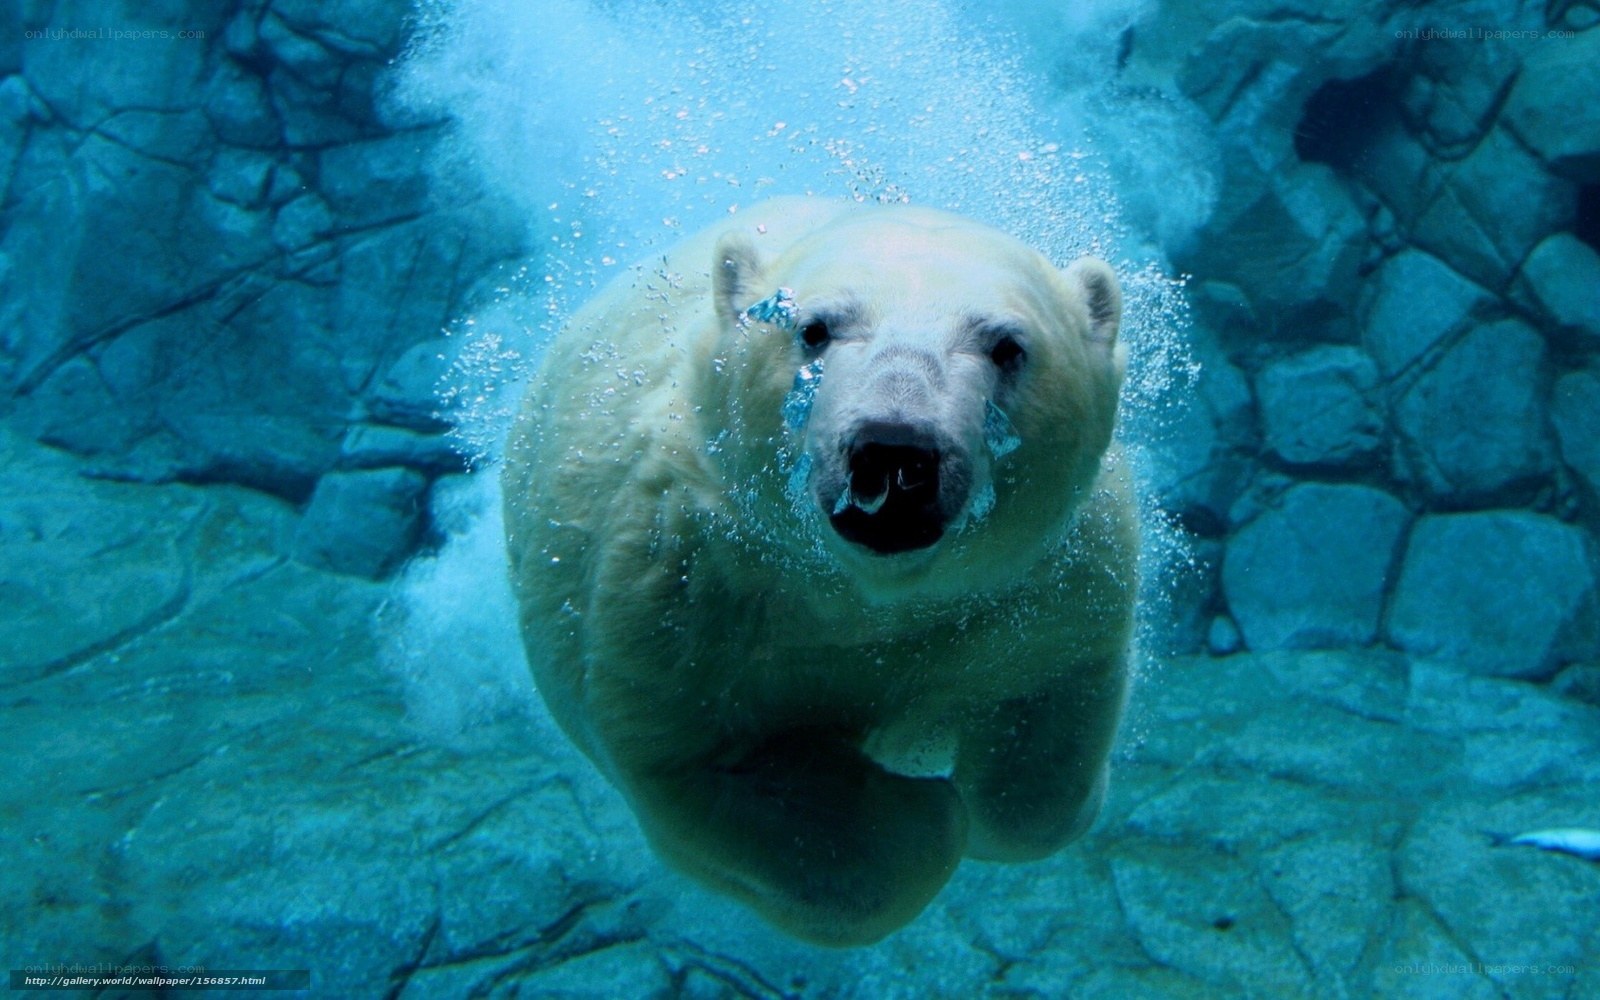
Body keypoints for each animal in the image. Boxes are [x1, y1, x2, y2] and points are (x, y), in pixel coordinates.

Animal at [502, 196, 1135, 947]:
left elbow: (1045, 729)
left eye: (1008, 345)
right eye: (813, 328)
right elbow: (706, 766)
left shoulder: (1044, 581)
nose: (895, 451)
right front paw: (922, 813)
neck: (867, 595)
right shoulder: (683, 587)